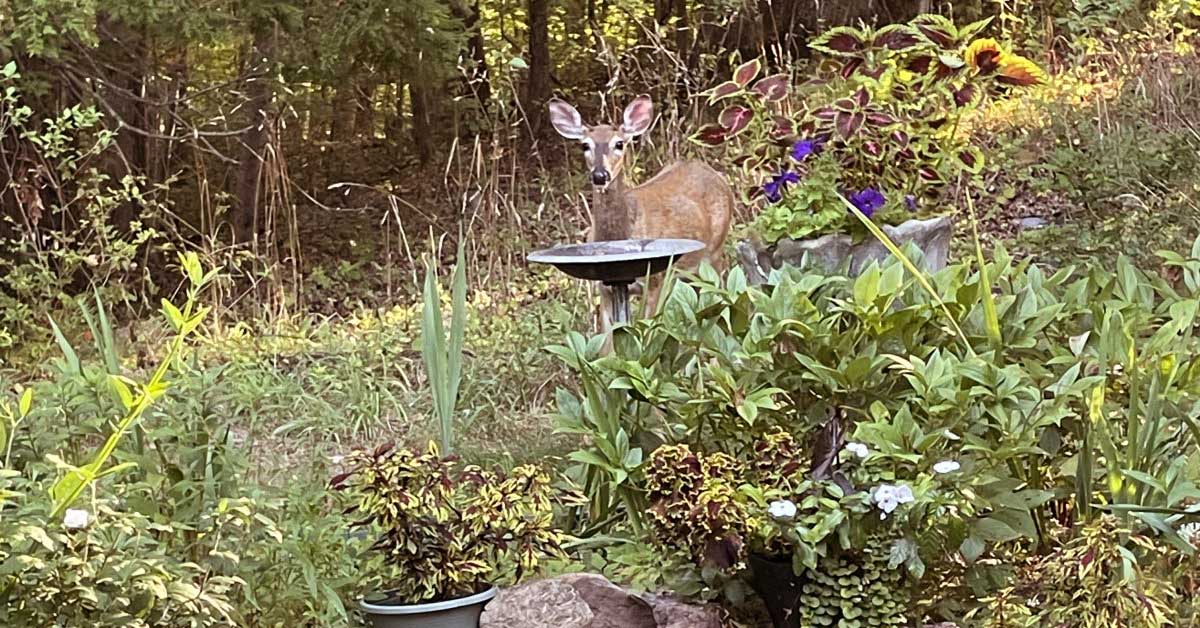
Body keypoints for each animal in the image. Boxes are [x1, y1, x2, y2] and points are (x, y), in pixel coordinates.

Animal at [547, 95, 734, 336]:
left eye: (619, 143)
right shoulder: (604, 289)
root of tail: (717, 175)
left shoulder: (655, 282)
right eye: (585, 145)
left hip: (714, 253)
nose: (600, 175)